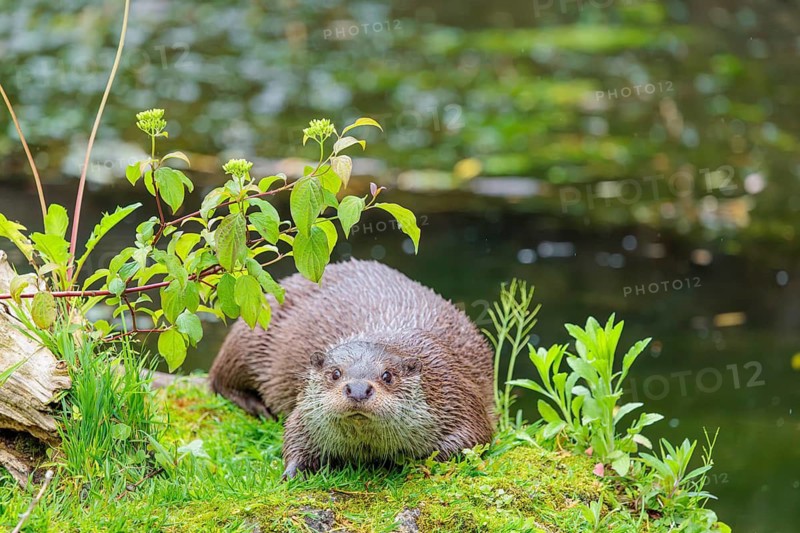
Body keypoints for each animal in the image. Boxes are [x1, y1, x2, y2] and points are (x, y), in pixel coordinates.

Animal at [209, 260, 495, 479]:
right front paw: (292, 472)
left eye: (387, 375)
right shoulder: (305, 411)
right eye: (335, 373)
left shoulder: (455, 395)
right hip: (251, 331)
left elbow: (470, 440)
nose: (357, 389)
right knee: (218, 380)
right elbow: (294, 434)